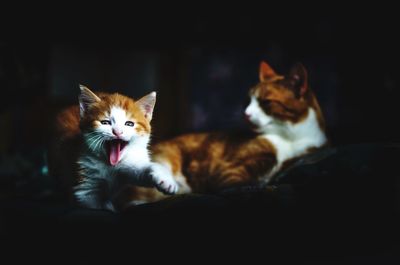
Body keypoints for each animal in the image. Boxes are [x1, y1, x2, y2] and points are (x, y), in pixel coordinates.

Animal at [47, 85, 177, 209]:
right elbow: (90, 202)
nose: (117, 132)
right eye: (105, 122)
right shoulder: (84, 185)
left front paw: (165, 179)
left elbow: (142, 171)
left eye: (129, 124)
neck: (110, 164)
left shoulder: (132, 161)